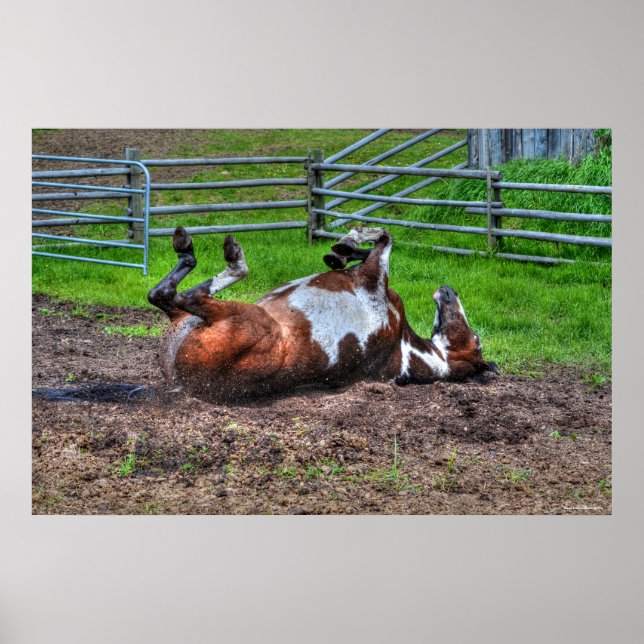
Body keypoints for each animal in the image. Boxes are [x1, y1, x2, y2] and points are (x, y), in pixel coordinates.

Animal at [148, 226, 496, 401]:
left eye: (476, 338)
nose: (449, 290)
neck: (405, 348)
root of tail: (183, 384)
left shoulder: (373, 280)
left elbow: (384, 237)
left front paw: (350, 241)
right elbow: (372, 246)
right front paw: (342, 251)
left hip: (247, 318)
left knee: (182, 294)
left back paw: (225, 255)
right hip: (188, 321)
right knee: (164, 295)